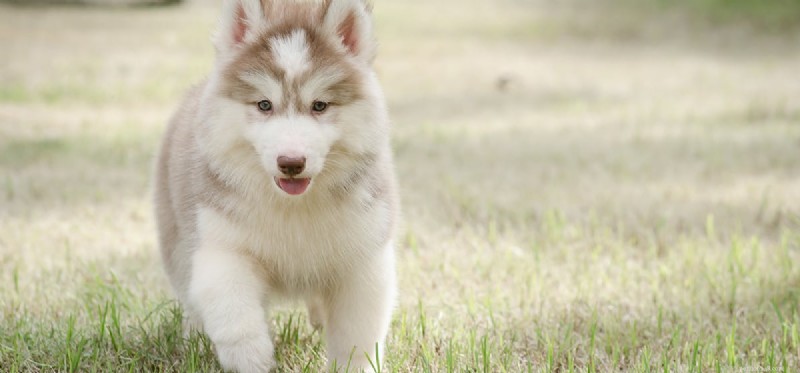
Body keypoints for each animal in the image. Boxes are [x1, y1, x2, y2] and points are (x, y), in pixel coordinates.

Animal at [152, 0, 398, 370]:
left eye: (320, 105)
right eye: (264, 105)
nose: (291, 162)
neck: (294, 208)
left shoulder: (363, 259)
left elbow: (357, 336)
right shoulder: (222, 246)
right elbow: (233, 312)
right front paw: (251, 358)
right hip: (178, 240)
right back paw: (193, 338)